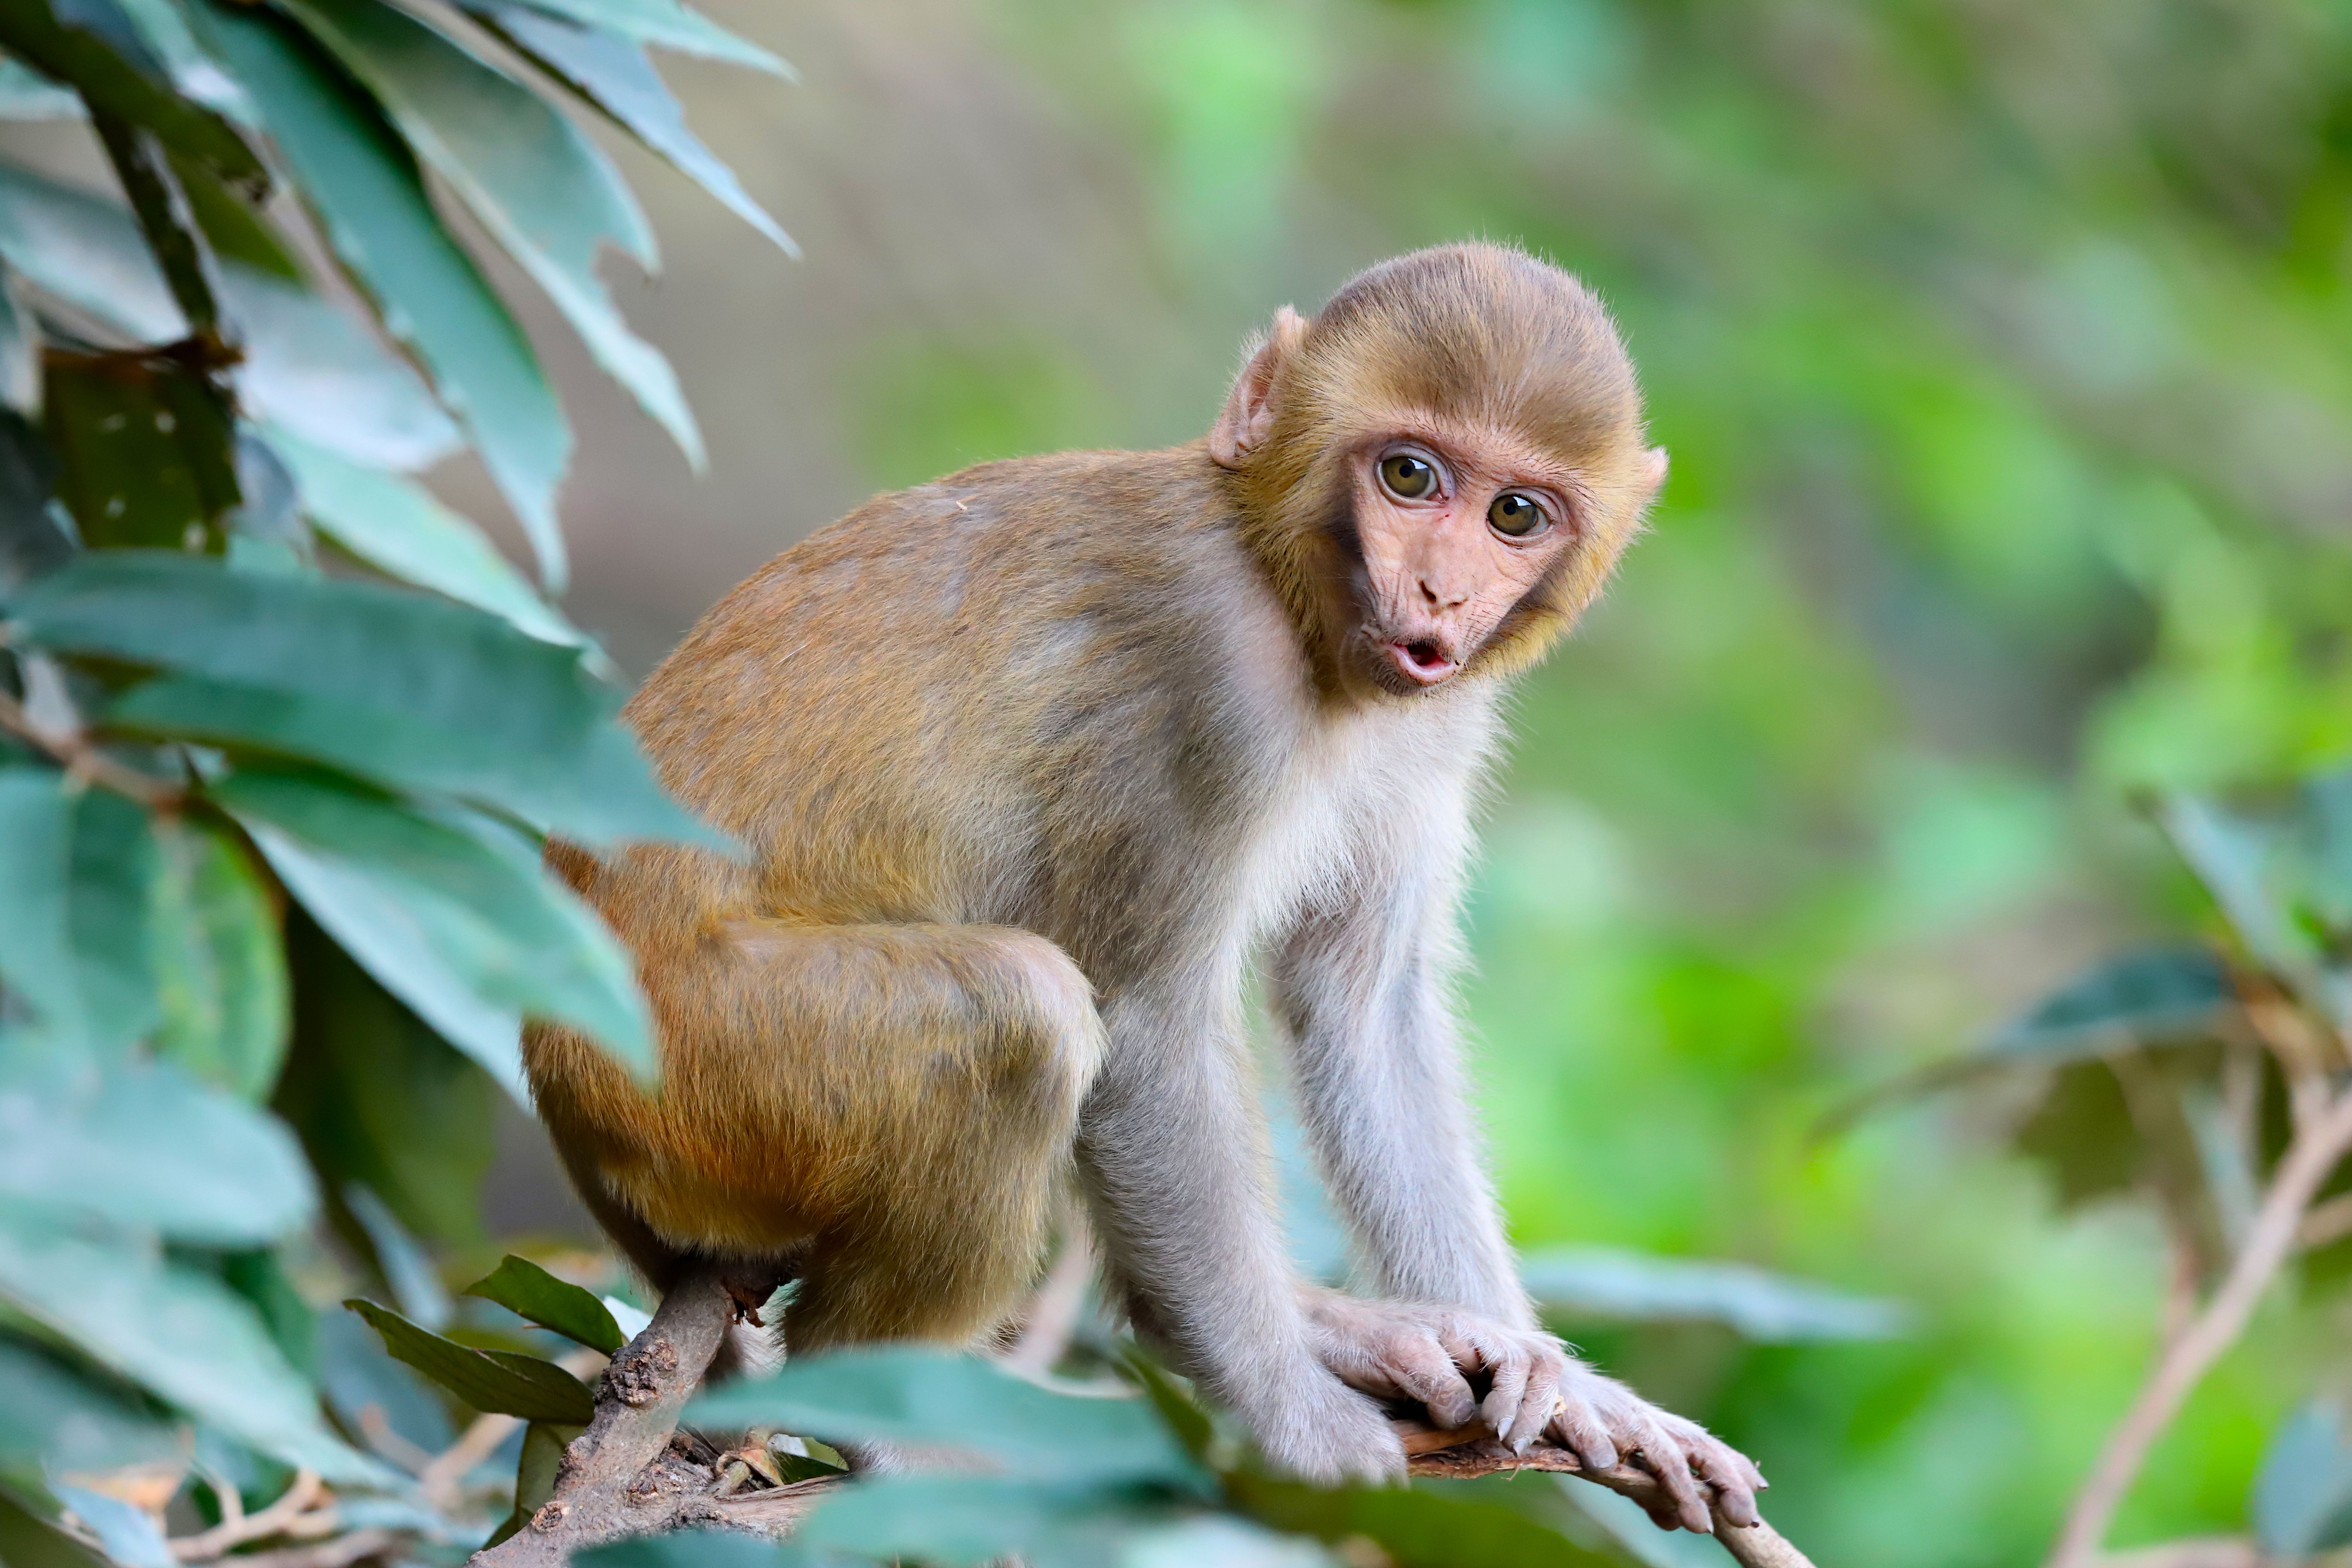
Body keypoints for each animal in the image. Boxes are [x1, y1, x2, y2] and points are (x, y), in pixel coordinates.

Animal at [524, 242, 1765, 1531]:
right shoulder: (1209, 680)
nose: (1439, 593)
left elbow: (1361, 1003)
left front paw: (1563, 1386)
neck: (1284, 587)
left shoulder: (1440, 713)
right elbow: (1152, 1028)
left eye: (1514, 512)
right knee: (1019, 1013)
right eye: (1410, 476)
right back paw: (887, 1411)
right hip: (688, 1071)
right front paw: (1293, 1420)